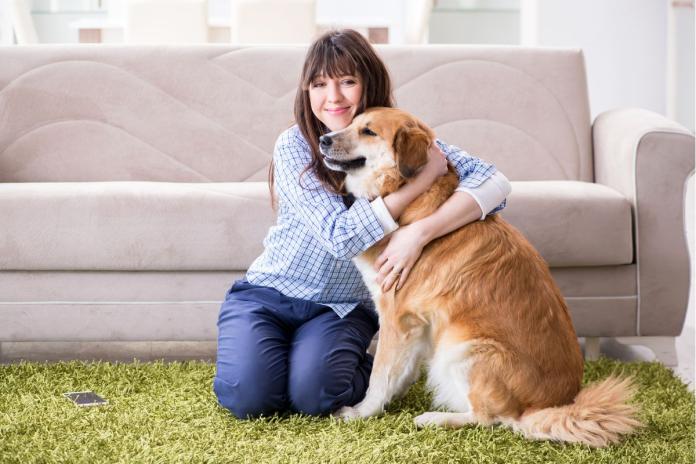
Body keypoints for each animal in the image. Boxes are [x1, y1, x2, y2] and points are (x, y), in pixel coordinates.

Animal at [320, 107, 640, 448]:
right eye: (351, 124)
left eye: (368, 131)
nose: (324, 139)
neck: (408, 199)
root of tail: (548, 404)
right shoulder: (419, 324)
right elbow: (401, 370)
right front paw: (393, 396)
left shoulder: (398, 316)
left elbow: (381, 374)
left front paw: (363, 411)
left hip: (464, 349)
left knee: (491, 419)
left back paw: (434, 418)